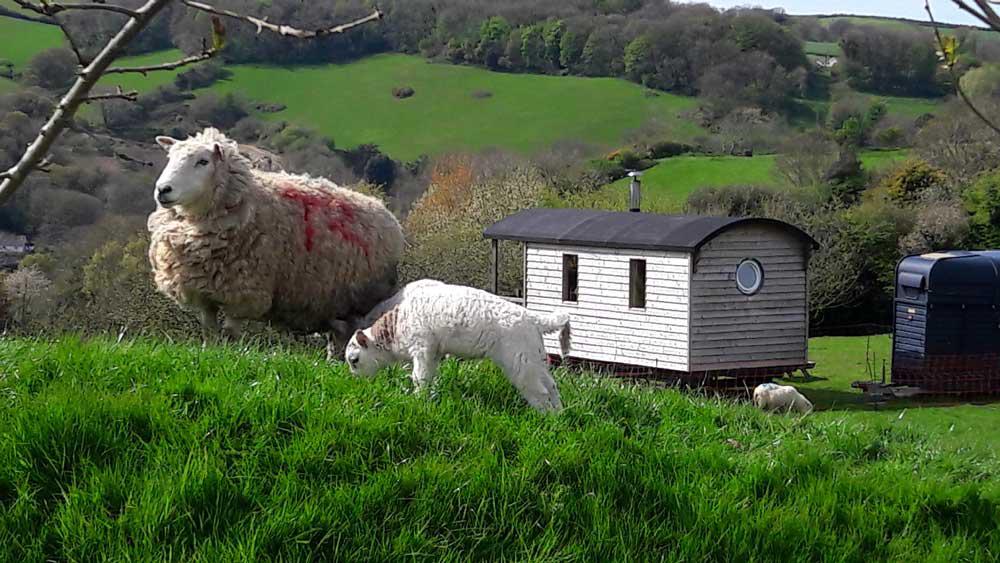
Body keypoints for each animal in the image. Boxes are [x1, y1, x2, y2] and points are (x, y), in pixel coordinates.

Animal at [146, 128, 404, 342]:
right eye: (170, 159)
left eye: (203, 161)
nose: (163, 190)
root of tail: (385, 212)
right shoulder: (203, 292)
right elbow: (209, 332)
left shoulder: (243, 291)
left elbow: (230, 333)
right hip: (335, 304)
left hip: (363, 302)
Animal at [344, 282, 568, 414]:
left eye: (354, 361)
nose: (357, 381)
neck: (396, 326)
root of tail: (532, 317)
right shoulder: (433, 353)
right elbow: (428, 377)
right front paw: (427, 397)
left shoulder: (422, 348)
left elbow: (419, 378)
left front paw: (417, 400)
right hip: (534, 358)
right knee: (551, 386)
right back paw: (559, 415)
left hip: (520, 363)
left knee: (539, 392)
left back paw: (545, 417)